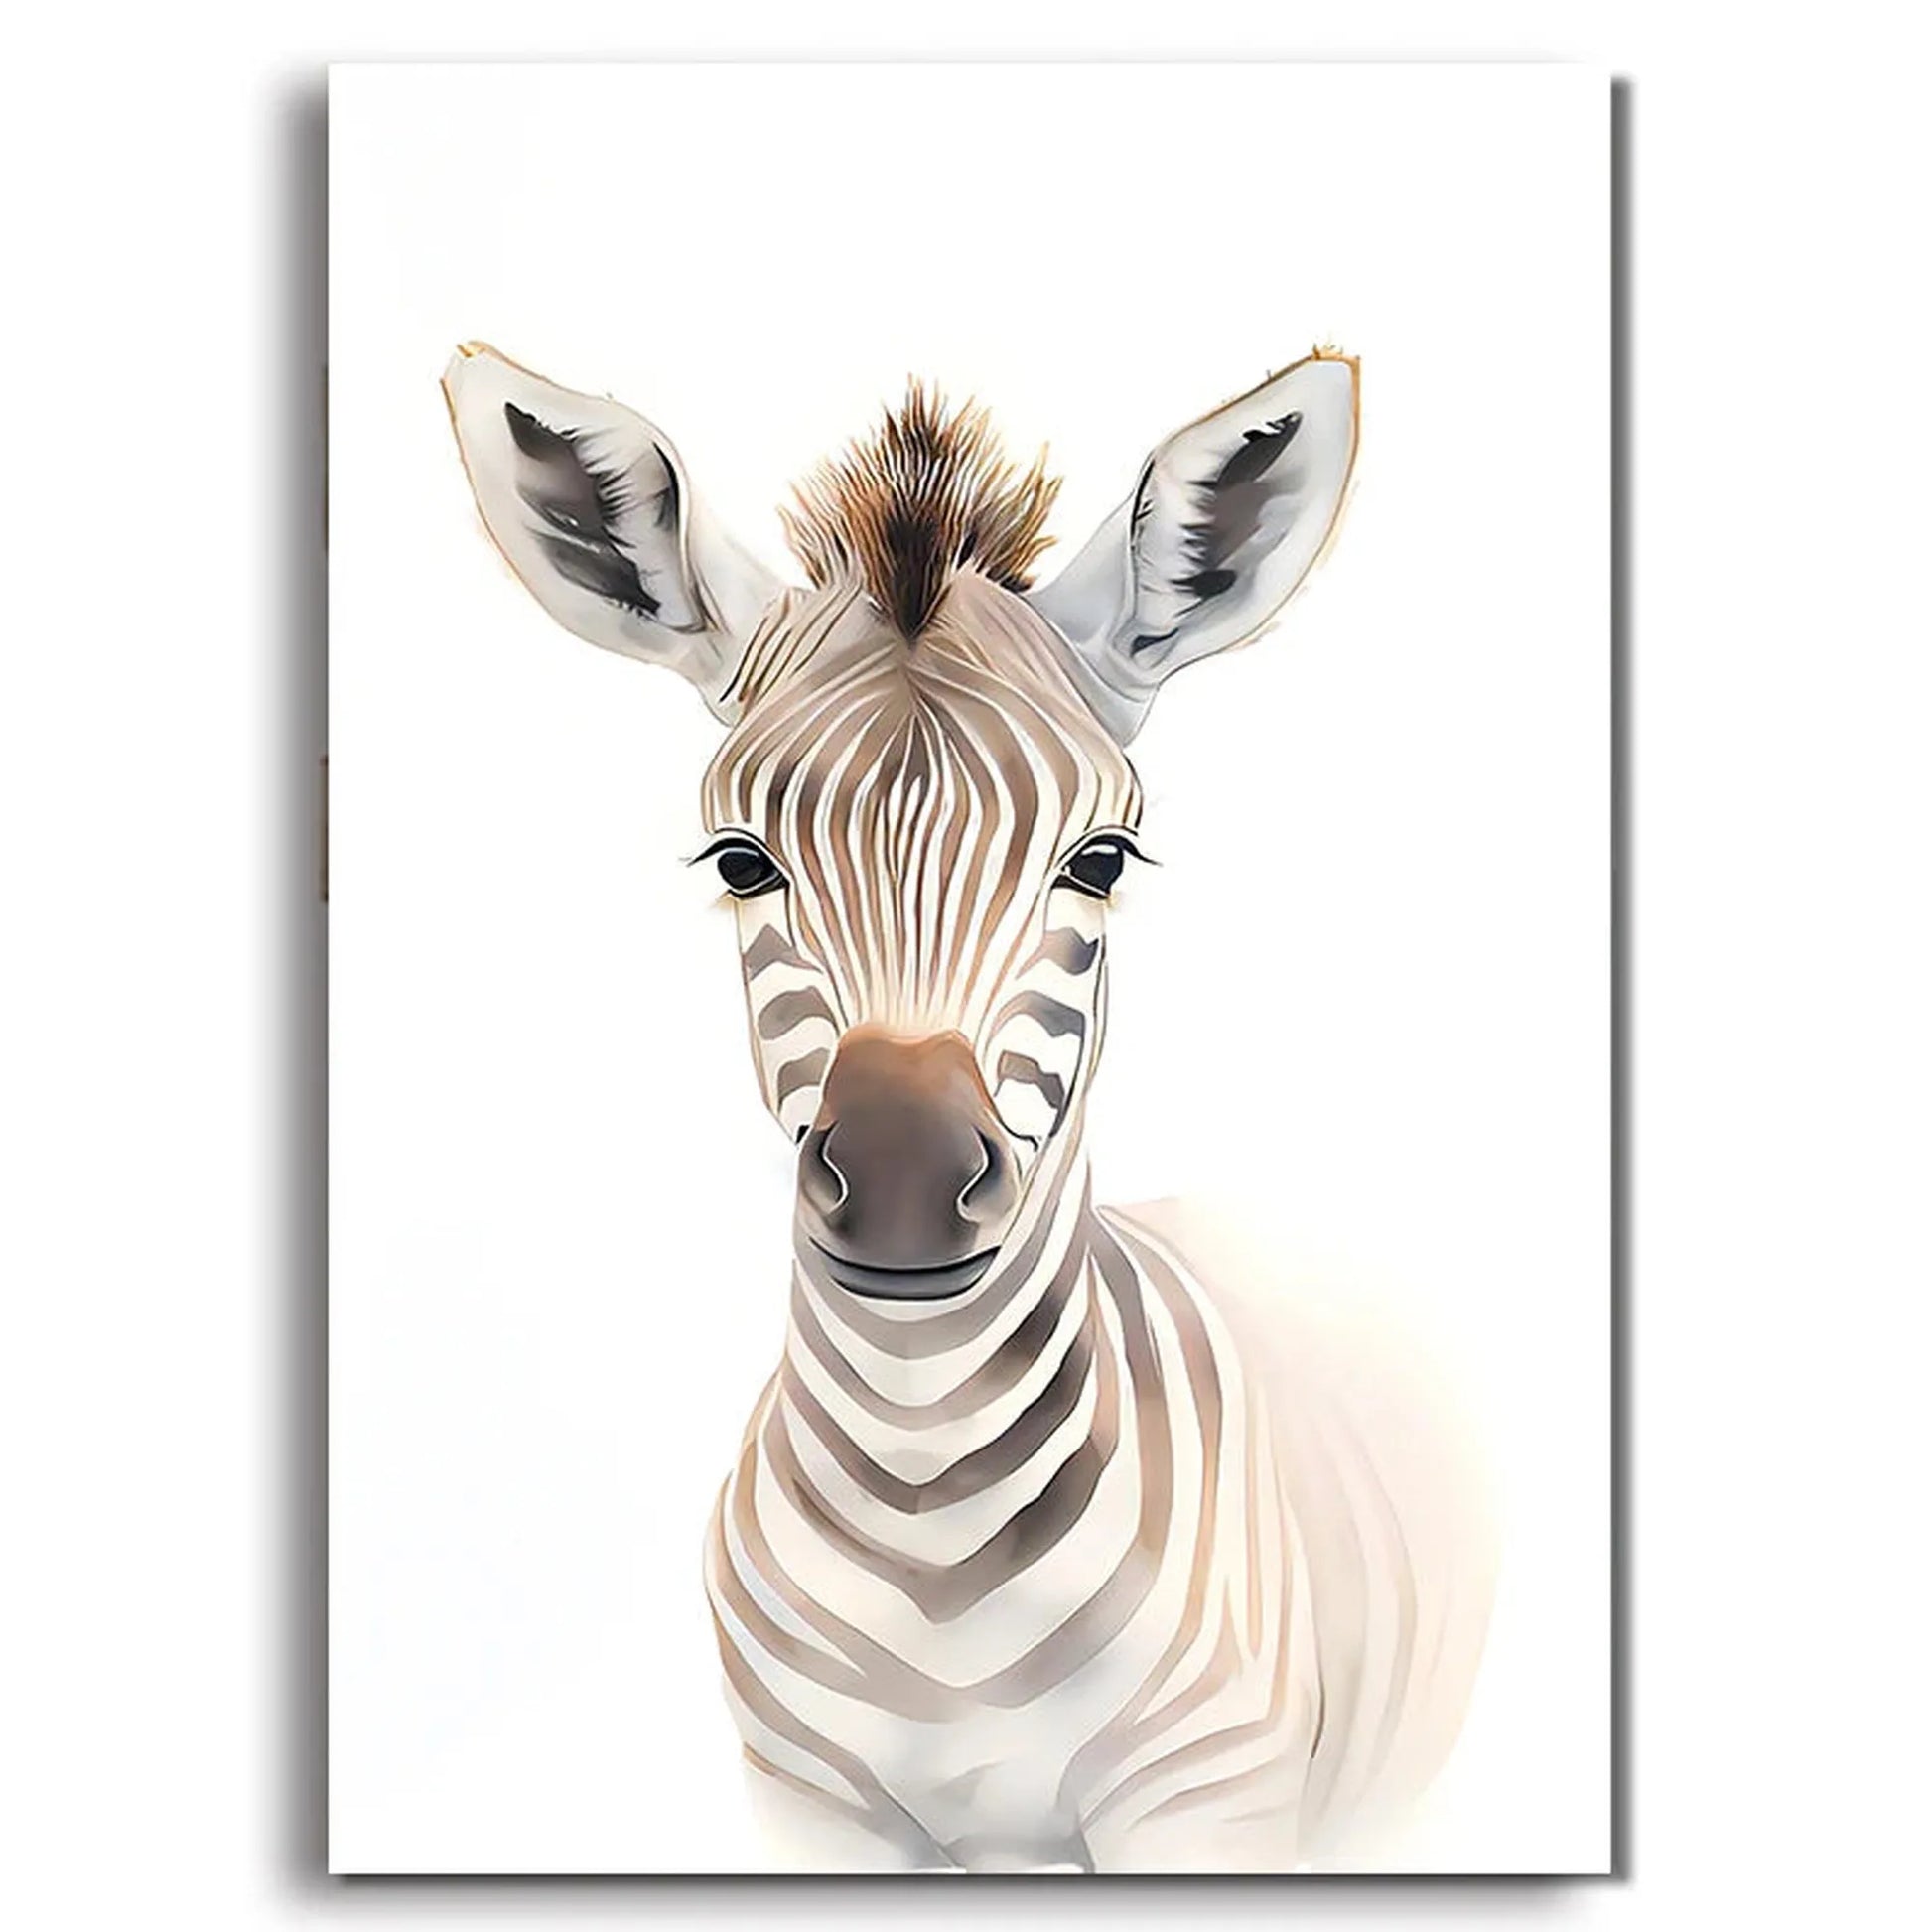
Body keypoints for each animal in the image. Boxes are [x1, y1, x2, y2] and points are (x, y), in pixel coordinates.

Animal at [443, 343, 1496, 1873]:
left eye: (1099, 857)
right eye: (739, 859)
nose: (896, 1183)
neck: (925, 1492)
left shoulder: (1208, 1797)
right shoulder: (804, 1801)